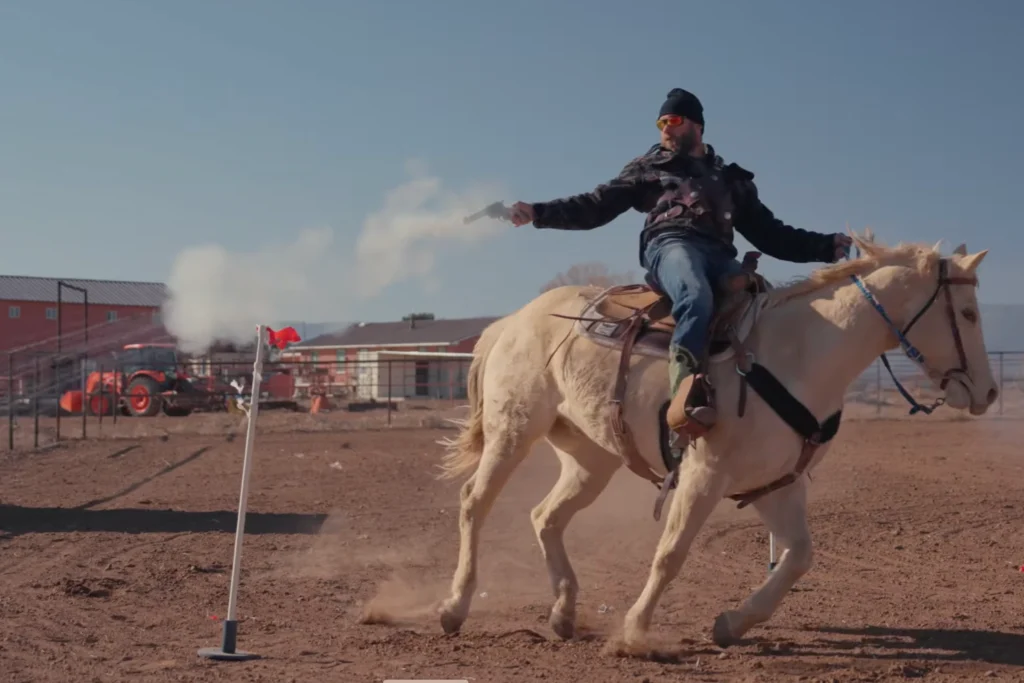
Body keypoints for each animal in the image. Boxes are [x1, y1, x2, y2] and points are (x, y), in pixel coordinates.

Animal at [432, 235, 991, 651]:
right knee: (474, 503)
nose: (987, 392)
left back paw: (564, 612)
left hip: (590, 459)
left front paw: (731, 623)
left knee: (545, 516)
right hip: (513, 432)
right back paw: (454, 607)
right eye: (967, 313)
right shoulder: (703, 474)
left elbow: (799, 556)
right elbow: (671, 552)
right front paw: (633, 633)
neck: (797, 355)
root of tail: (512, 321)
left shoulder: (776, 485)